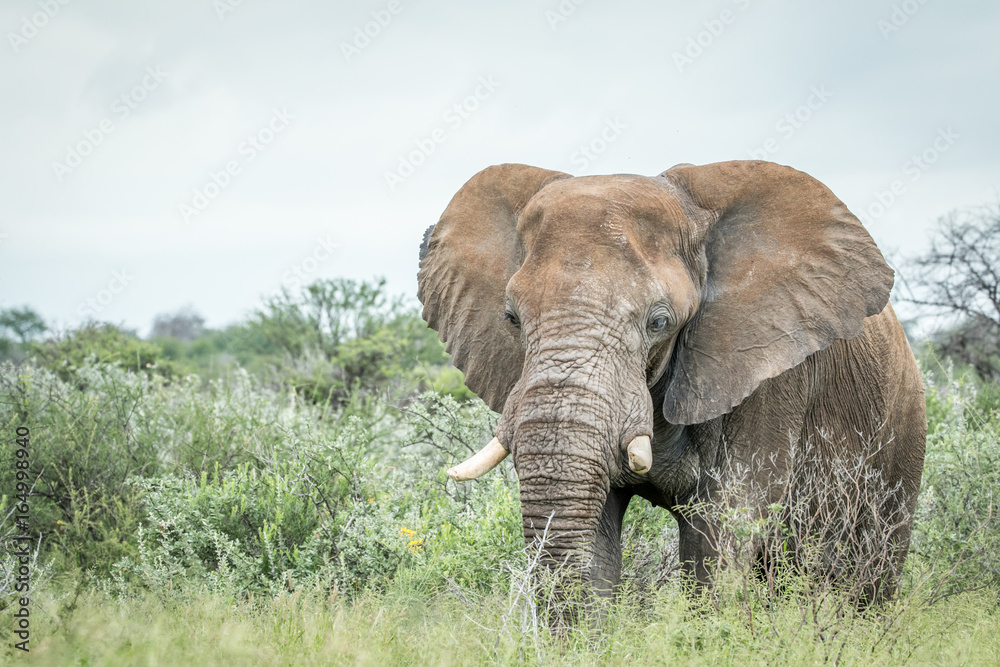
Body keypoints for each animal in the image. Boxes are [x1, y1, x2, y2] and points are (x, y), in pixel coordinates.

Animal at [416, 160, 926, 602]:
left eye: (659, 322)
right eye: (511, 318)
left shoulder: (768, 374)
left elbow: (721, 533)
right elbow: (595, 539)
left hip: (903, 438)